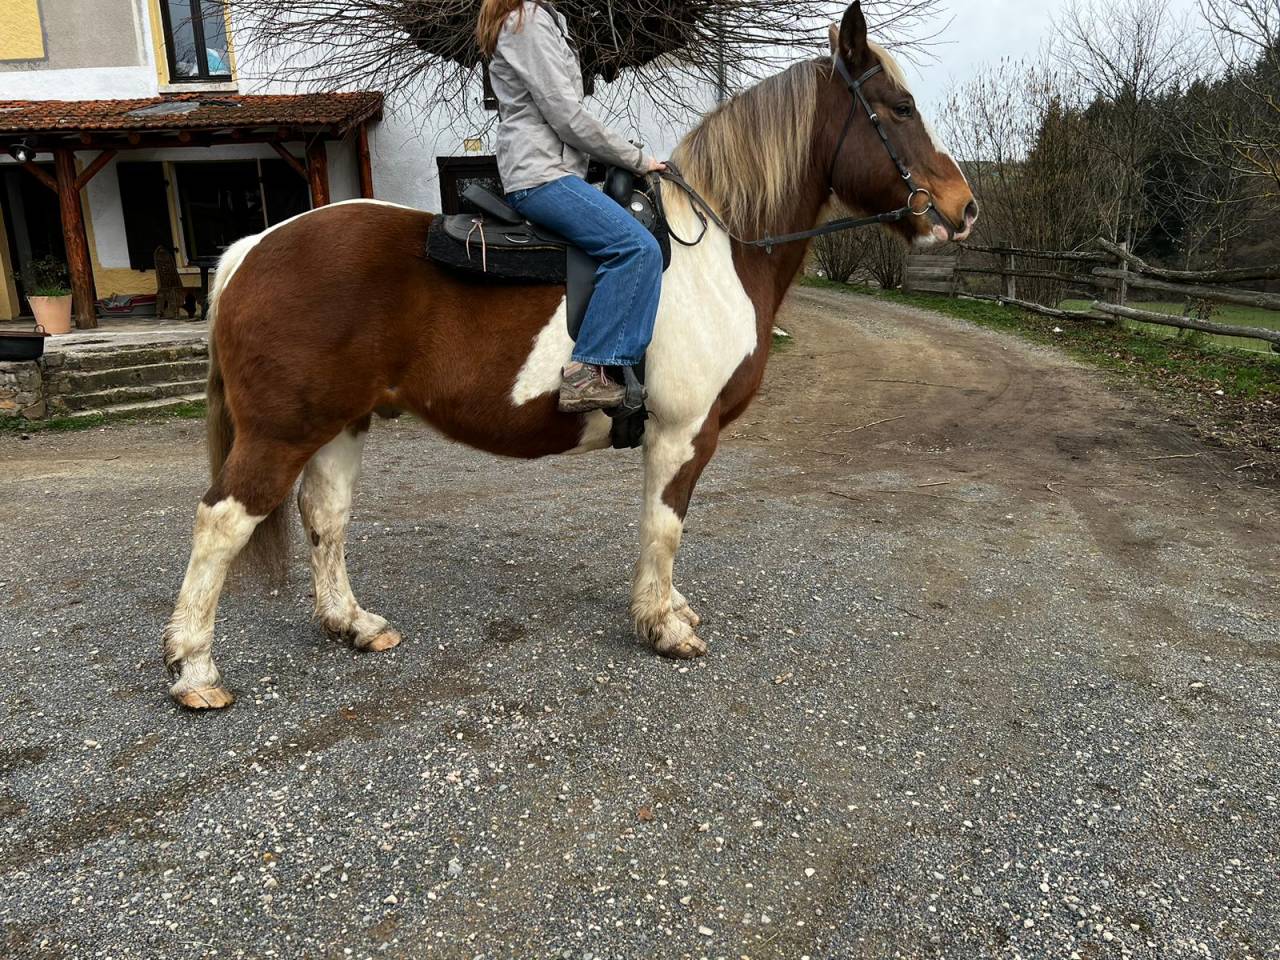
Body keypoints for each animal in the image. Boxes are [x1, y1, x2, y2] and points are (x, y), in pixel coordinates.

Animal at [162, 0, 977, 710]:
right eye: (899, 107)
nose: (963, 208)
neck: (718, 249)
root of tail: (254, 247)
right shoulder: (683, 433)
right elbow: (665, 524)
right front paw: (662, 625)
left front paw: (672, 607)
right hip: (281, 433)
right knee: (221, 523)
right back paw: (195, 670)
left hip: (338, 424)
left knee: (325, 516)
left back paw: (353, 625)